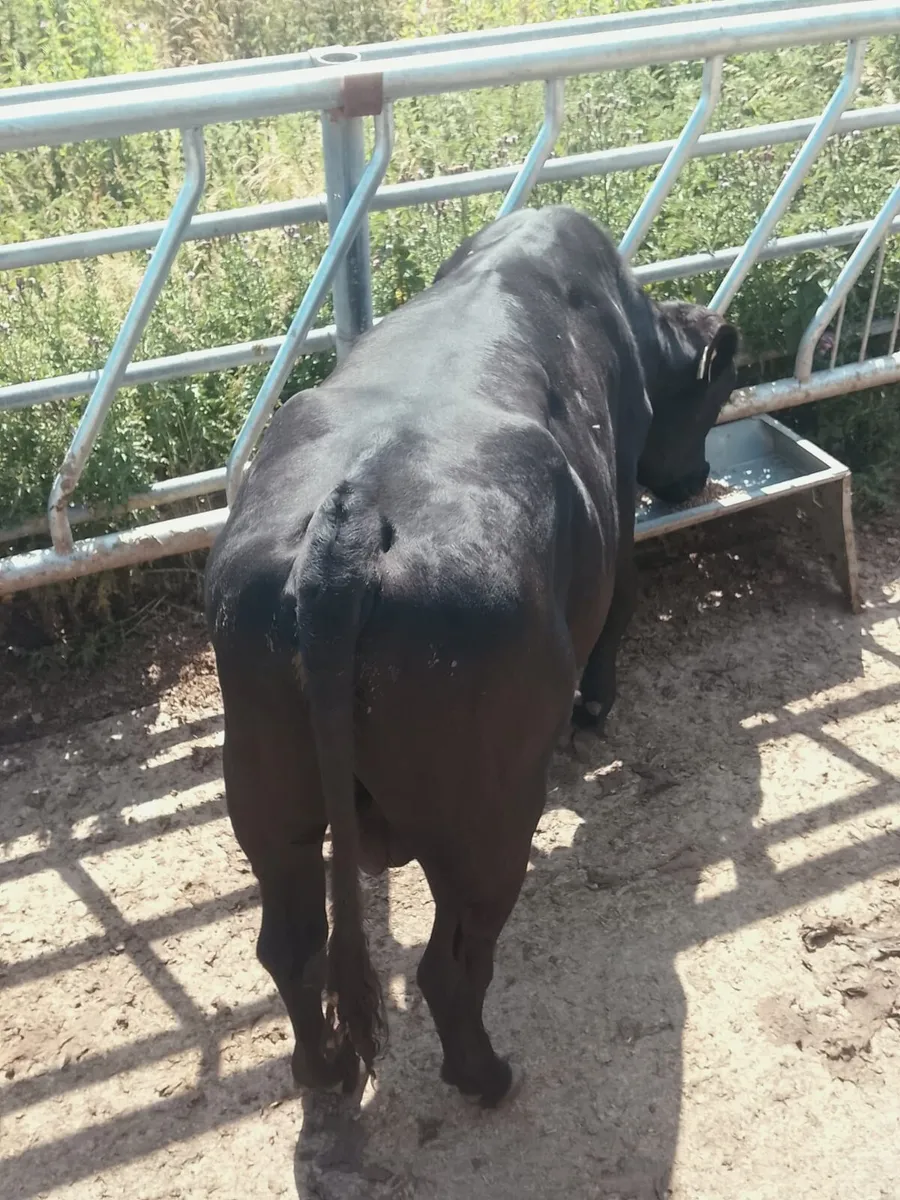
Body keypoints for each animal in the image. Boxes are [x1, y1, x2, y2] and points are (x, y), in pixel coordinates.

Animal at [204, 204, 738, 1109]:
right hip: (488, 813)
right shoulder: (621, 491)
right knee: (452, 963)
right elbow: (624, 599)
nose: (695, 478)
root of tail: (354, 521)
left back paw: (323, 1072)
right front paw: (598, 706)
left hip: (267, 795)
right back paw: (487, 1076)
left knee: (291, 948)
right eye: (717, 395)